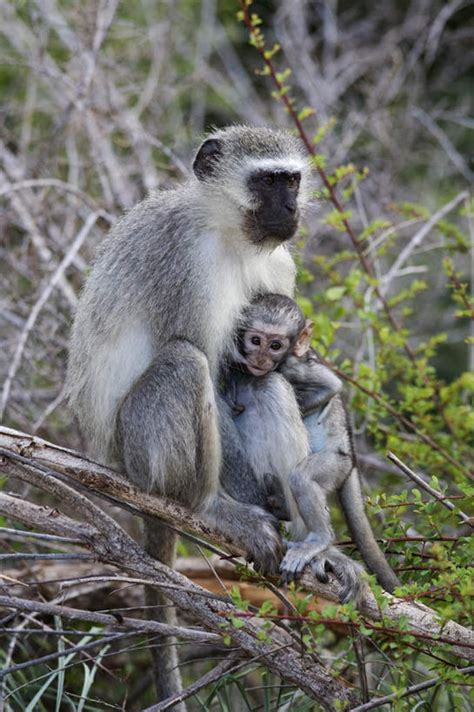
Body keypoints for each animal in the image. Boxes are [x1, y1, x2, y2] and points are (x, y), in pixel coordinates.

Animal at [67, 126, 314, 708]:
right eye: (267, 182)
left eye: (291, 180)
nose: (290, 208)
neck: (229, 234)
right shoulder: (186, 264)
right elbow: (212, 368)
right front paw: (241, 513)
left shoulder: (280, 265)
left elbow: (265, 372)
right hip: (138, 451)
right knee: (186, 361)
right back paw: (207, 505)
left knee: (263, 383)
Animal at [226, 292, 400, 596]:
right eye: (255, 341)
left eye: (275, 345)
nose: (260, 358)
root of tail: (352, 457)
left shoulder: (292, 366)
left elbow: (331, 386)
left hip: (335, 462)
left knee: (302, 477)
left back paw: (319, 539)